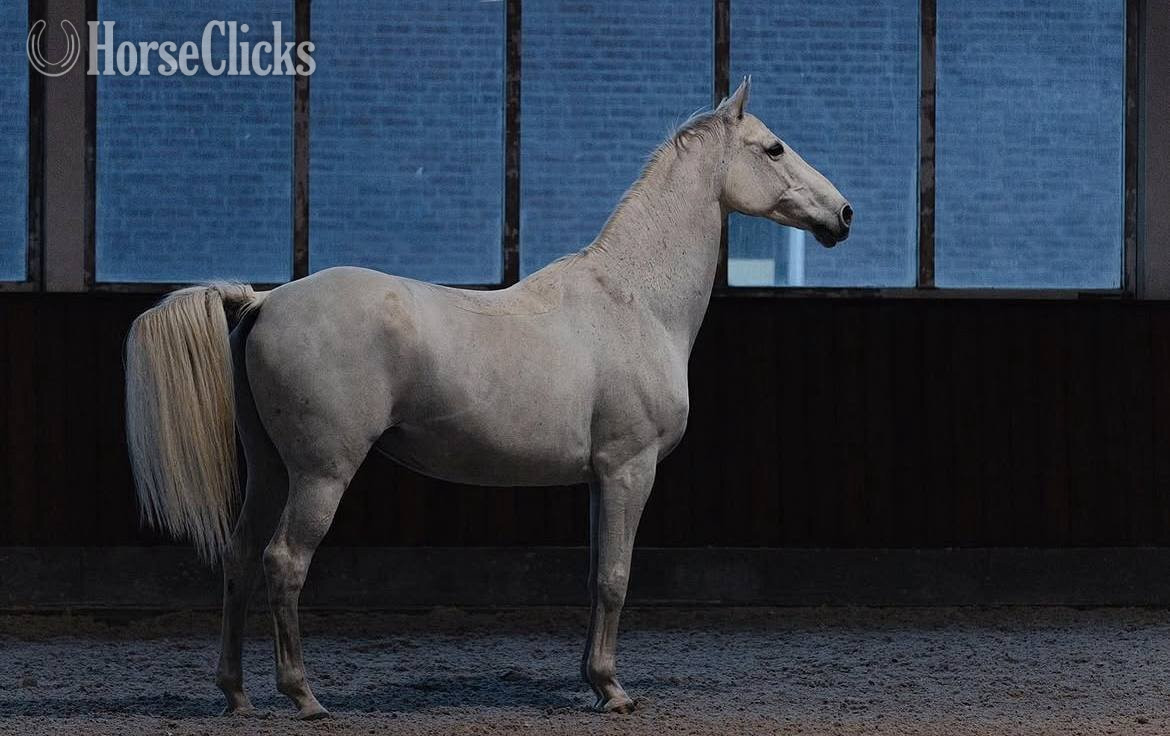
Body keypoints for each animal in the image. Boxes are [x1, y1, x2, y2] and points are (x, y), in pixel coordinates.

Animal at [125, 77, 852, 719]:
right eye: (774, 148)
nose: (843, 214)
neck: (634, 300)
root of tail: (264, 301)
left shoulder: (599, 479)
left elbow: (595, 576)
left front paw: (594, 681)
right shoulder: (629, 469)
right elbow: (616, 579)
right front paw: (614, 691)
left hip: (271, 469)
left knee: (240, 560)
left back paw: (237, 695)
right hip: (319, 474)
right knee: (283, 563)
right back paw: (304, 697)